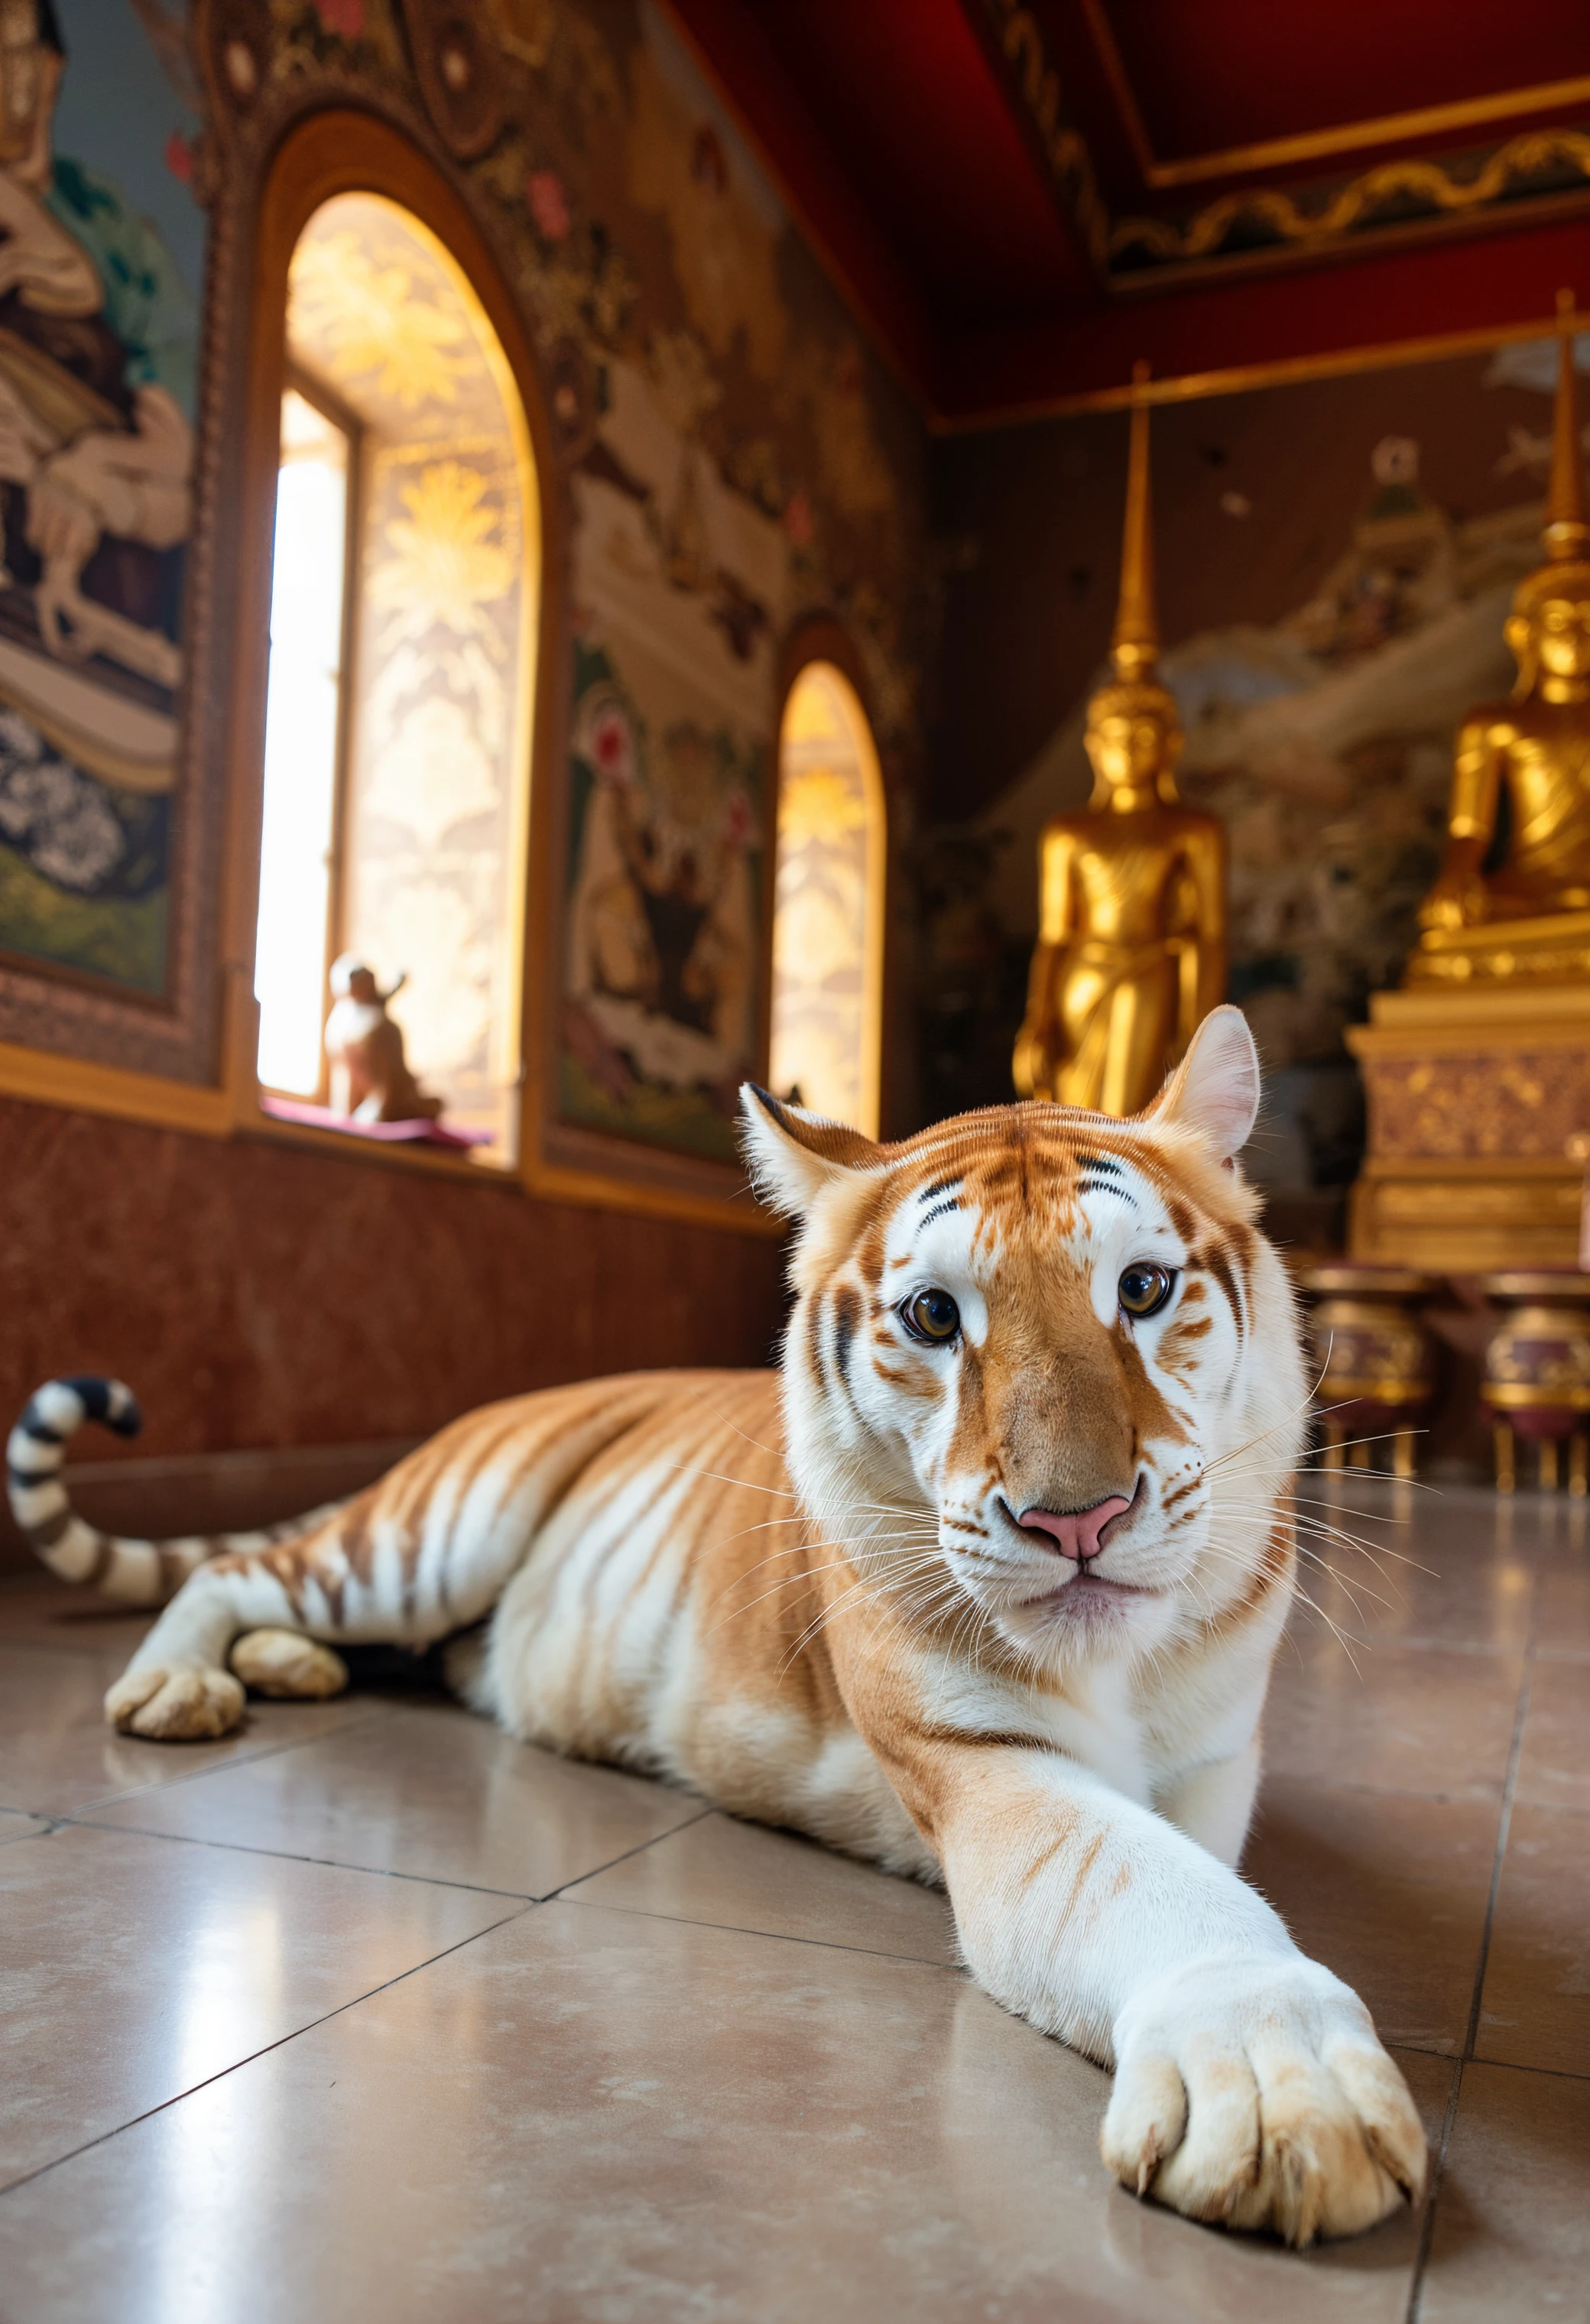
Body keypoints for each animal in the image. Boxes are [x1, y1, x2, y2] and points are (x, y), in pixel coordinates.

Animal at [6, 1008, 1432, 2240]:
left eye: (1141, 1290)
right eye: (934, 1316)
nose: (1073, 1521)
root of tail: (477, 1415)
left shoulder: (1211, 1764)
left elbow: (1197, 1859)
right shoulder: (984, 1767)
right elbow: (1151, 1883)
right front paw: (1280, 2089)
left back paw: (289, 1669)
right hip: (426, 1541)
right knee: (237, 1574)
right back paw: (179, 1690)